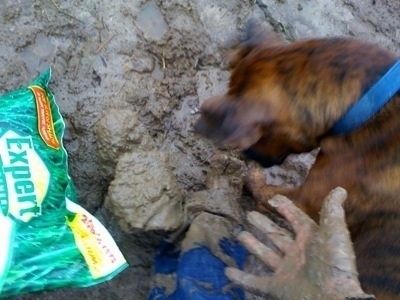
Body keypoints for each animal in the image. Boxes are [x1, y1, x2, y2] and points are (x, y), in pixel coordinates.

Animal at [195, 24, 400, 298]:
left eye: (259, 136)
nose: (250, 155)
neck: (367, 103)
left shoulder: (308, 200)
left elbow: (266, 190)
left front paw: (251, 176)